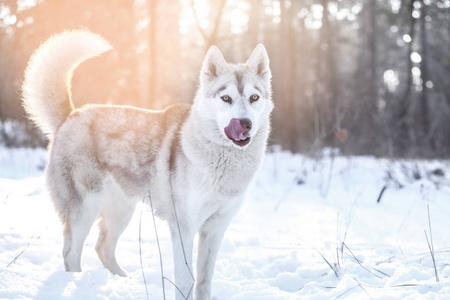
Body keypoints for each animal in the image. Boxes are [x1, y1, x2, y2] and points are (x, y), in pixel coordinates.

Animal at [22, 29, 272, 298]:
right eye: (226, 98)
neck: (221, 164)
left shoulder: (215, 229)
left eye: (254, 97)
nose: (245, 123)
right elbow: (186, 281)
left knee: (103, 247)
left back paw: (124, 280)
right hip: (85, 208)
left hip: (122, 210)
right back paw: (78, 283)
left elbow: (204, 282)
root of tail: (71, 116)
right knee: (71, 253)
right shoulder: (183, 229)